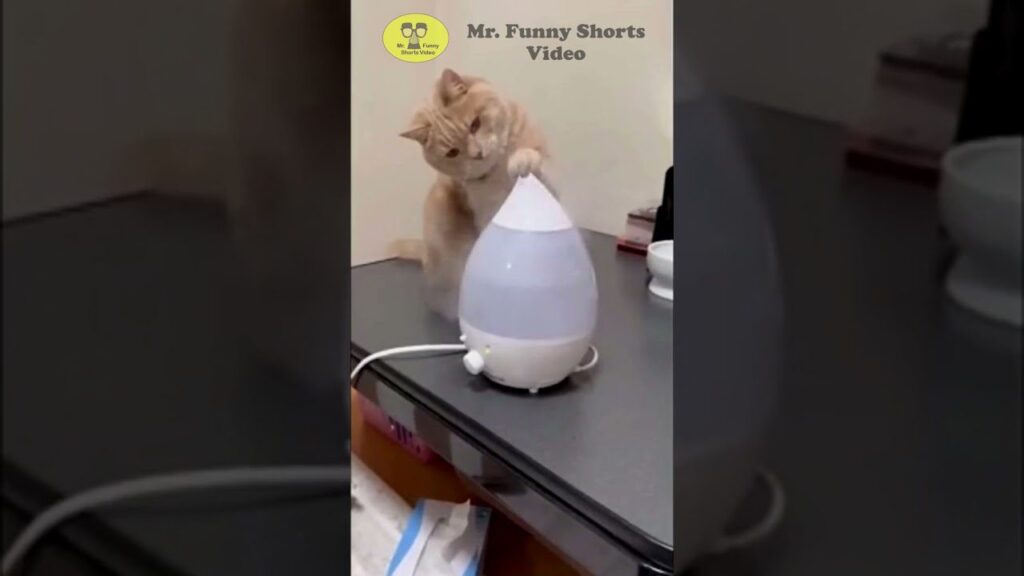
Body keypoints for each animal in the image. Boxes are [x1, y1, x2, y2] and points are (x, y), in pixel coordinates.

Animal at [391, 69, 552, 317]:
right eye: (452, 152)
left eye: (475, 125)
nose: (478, 154)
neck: (498, 170)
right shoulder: (484, 214)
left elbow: (534, 160)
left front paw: (523, 160)